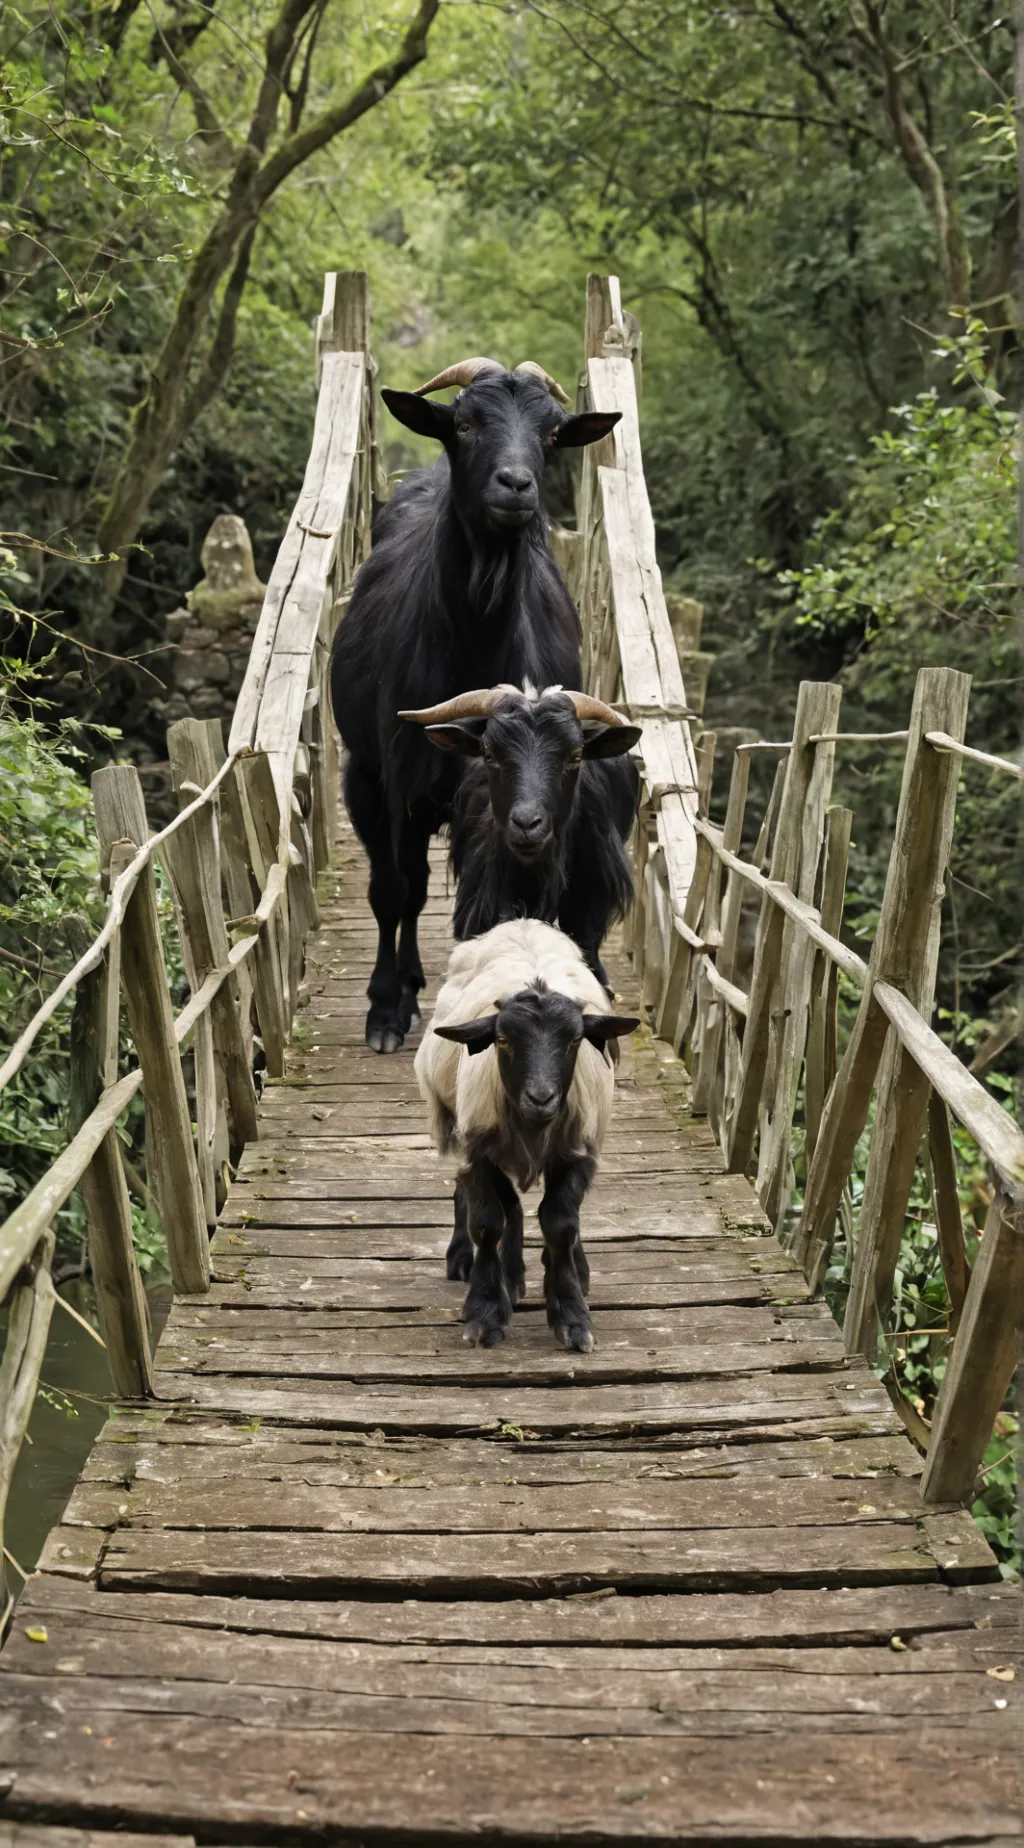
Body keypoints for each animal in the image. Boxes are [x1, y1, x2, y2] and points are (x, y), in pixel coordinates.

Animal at [415, 920, 638, 1352]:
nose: (541, 1097)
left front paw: (571, 1313)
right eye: (502, 1040)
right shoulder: (477, 1150)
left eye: (574, 1040)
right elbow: (488, 1223)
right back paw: (480, 1265)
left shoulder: (577, 1152)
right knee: (491, 1202)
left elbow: (560, 1225)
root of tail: (523, 923)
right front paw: (486, 1312)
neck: (534, 1125)